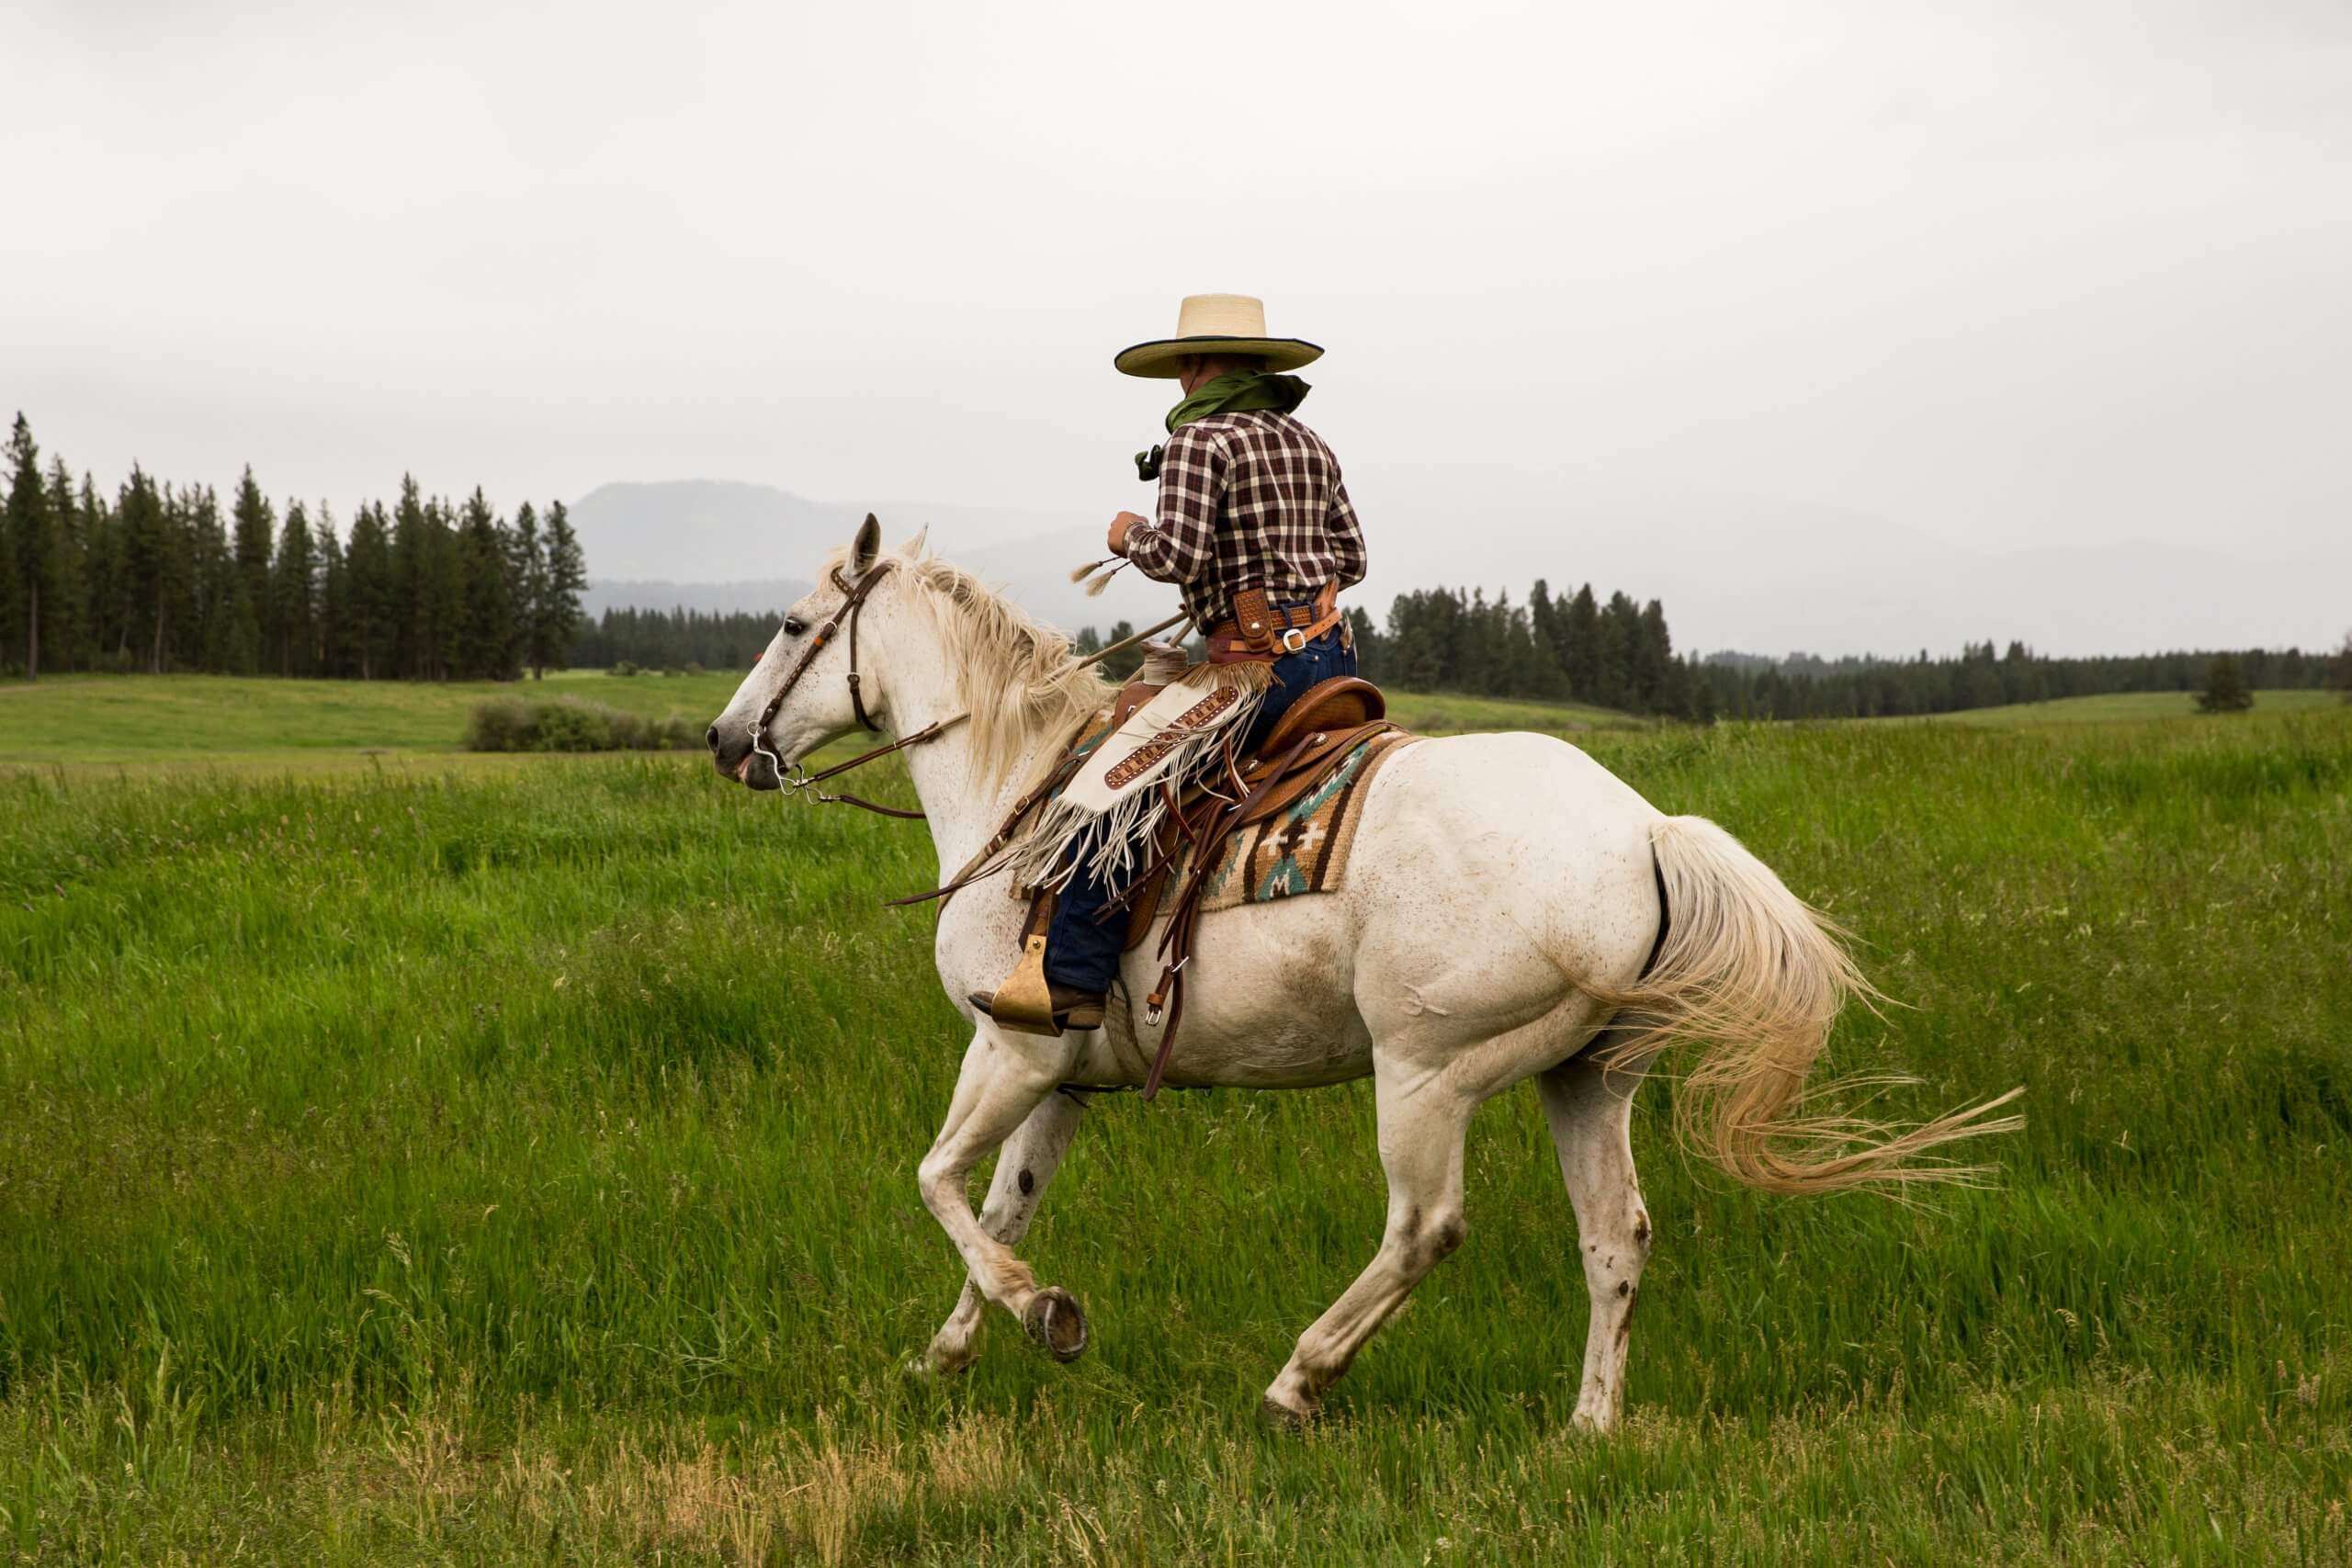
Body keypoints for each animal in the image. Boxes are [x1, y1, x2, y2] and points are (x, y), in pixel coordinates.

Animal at [700, 514, 2022, 1438]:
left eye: (790, 624)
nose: (723, 741)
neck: (1021, 794)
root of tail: (1648, 831)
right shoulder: (1064, 1072)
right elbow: (1005, 1203)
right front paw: (954, 1351)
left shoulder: (1011, 1044)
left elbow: (935, 1181)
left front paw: (1042, 1316)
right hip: (1589, 1077)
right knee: (1615, 1235)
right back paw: (1588, 1425)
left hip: (1429, 1069)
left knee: (1425, 1226)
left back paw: (1299, 1379)